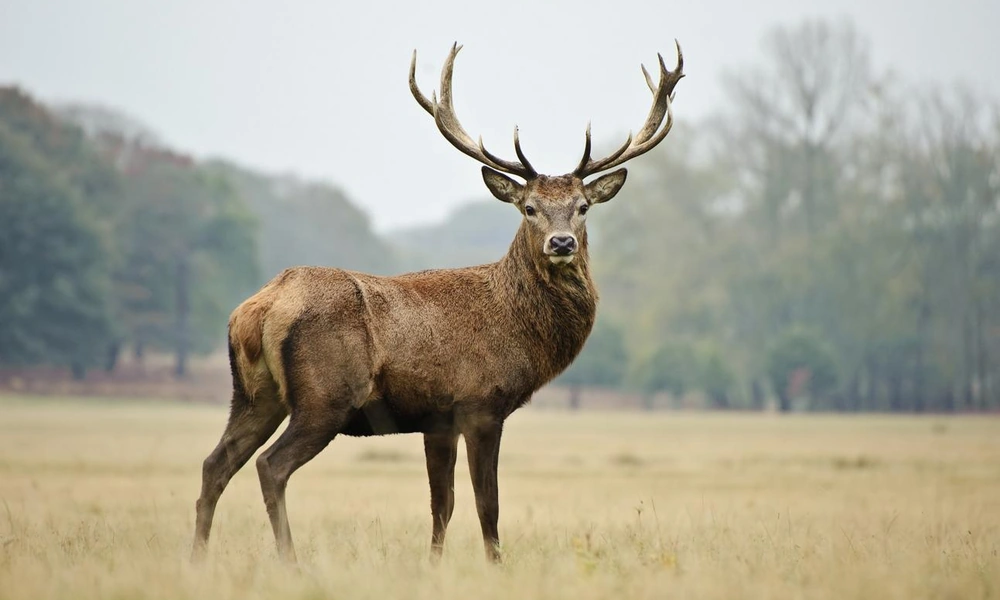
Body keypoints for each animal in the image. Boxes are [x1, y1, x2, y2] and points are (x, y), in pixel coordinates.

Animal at [191, 41, 684, 564]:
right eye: (529, 208)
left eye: (583, 207)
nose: (562, 242)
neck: (518, 328)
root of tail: (258, 308)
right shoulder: (481, 403)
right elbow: (487, 503)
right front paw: (495, 565)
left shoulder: (437, 419)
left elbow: (441, 504)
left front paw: (433, 564)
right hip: (324, 396)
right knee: (270, 466)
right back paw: (290, 561)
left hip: (253, 394)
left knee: (215, 464)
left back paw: (197, 558)